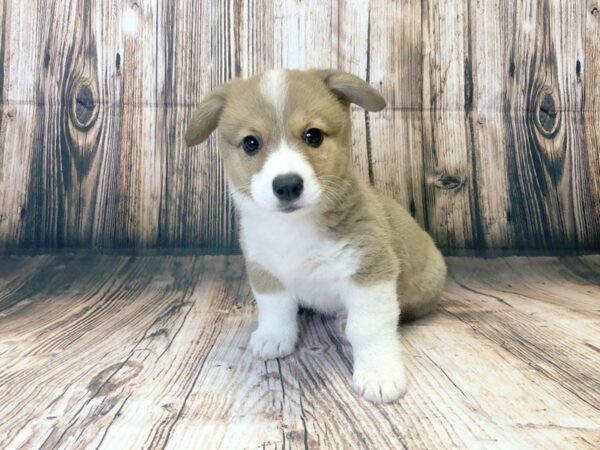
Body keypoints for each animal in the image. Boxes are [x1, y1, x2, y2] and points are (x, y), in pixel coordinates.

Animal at [186, 70, 446, 404]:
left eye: (314, 136)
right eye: (251, 143)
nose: (287, 185)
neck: (293, 228)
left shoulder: (370, 271)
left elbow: (369, 328)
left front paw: (378, 373)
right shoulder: (265, 272)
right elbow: (275, 310)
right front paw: (273, 338)